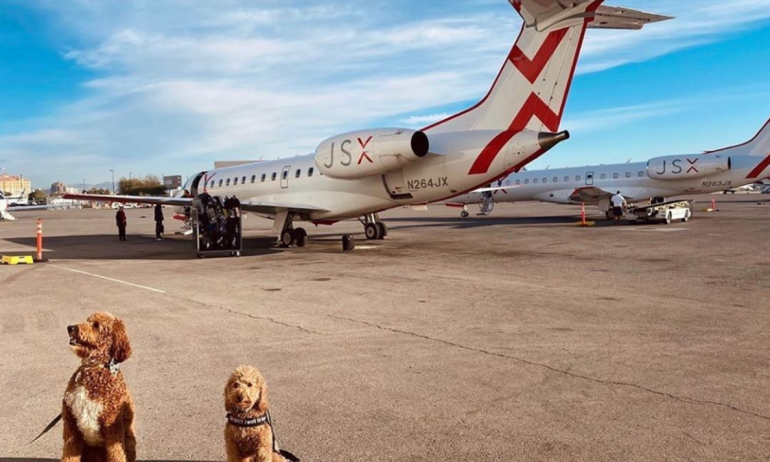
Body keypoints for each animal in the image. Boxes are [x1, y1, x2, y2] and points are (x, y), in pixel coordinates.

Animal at [63, 310, 136, 462]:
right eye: (87, 320)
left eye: (96, 325)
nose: (70, 327)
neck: (94, 368)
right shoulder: (71, 425)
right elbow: (69, 455)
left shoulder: (113, 427)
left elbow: (116, 454)